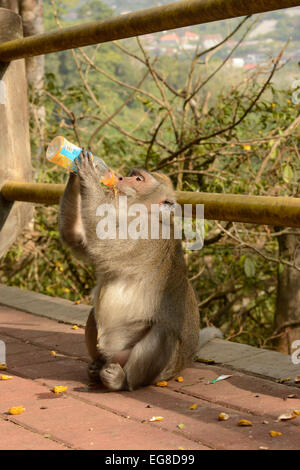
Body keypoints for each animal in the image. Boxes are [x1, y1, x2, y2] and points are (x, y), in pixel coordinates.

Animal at [58, 150, 220, 390]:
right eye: (131, 174)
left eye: (138, 179)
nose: (120, 178)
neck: (142, 215)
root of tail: (181, 364)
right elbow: (76, 241)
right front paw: (74, 173)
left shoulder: (147, 233)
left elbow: (104, 243)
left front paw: (87, 173)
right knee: (94, 314)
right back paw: (97, 367)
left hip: (156, 369)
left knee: (162, 333)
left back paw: (120, 381)